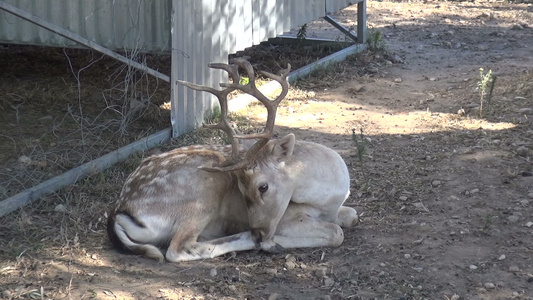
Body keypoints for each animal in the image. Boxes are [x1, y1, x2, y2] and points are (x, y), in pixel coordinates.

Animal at [107, 57, 358, 262]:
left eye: (263, 187)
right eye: (240, 189)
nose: (259, 233)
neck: (330, 197)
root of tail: (121, 212)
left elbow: (352, 216)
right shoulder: (287, 218)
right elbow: (336, 232)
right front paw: (271, 242)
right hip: (202, 191)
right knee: (176, 249)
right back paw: (249, 239)